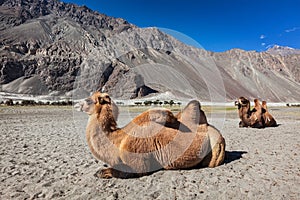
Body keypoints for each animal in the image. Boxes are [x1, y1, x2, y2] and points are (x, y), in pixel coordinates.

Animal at [74, 91, 225, 179]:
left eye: (88, 100)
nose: (75, 105)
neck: (118, 140)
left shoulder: (139, 162)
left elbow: (122, 171)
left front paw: (101, 172)